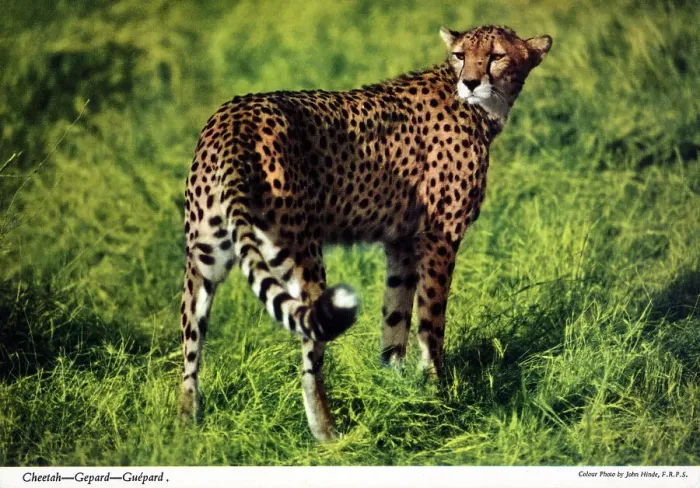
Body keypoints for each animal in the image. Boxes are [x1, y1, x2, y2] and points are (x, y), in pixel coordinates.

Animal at [179, 24, 552, 440]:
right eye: (460, 55)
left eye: (496, 56)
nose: (470, 82)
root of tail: (236, 117)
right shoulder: (440, 236)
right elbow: (431, 324)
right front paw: (436, 393)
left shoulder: (402, 243)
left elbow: (395, 319)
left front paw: (395, 389)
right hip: (302, 257)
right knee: (310, 353)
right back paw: (327, 433)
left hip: (205, 256)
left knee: (190, 350)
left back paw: (185, 429)